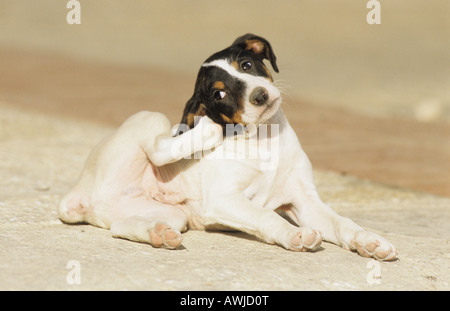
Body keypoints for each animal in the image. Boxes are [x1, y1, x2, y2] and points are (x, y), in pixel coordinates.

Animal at [59, 33, 398, 260]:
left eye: (247, 64)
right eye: (219, 94)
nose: (260, 96)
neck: (265, 142)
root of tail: (78, 195)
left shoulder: (304, 201)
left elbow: (342, 223)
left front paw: (368, 240)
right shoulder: (224, 200)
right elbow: (266, 217)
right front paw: (293, 234)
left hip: (170, 215)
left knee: (120, 227)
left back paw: (157, 234)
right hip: (151, 118)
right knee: (158, 145)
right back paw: (206, 131)